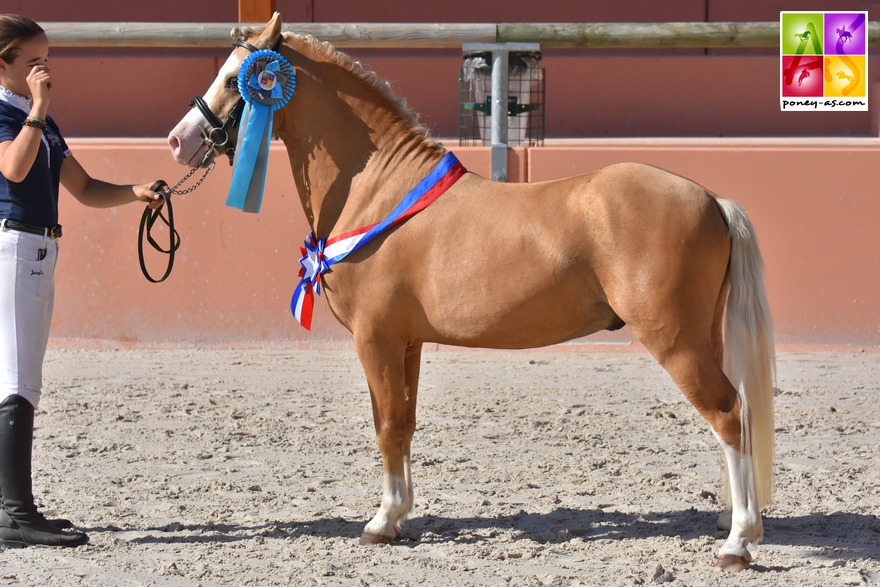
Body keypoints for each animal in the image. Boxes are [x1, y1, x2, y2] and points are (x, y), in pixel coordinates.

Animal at [168, 14, 772, 576]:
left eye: (236, 79)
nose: (180, 140)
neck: (379, 193)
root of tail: (711, 199)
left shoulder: (376, 340)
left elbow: (386, 426)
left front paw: (381, 523)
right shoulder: (406, 344)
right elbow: (403, 423)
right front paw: (400, 514)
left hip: (676, 341)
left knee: (727, 414)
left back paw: (738, 541)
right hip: (703, 338)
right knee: (731, 419)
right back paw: (728, 519)